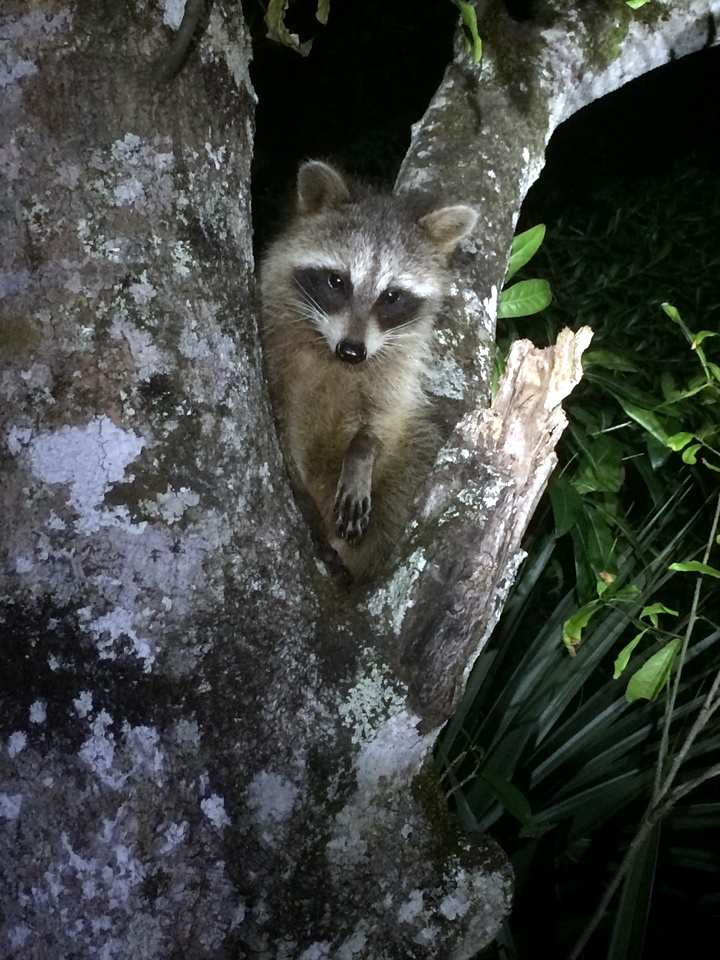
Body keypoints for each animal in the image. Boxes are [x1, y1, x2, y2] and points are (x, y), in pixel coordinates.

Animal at [260, 161, 478, 584]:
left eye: (391, 296)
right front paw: (301, 499)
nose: (352, 350)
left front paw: (361, 456)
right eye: (336, 281)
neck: (333, 359)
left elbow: (382, 423)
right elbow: (282, 432)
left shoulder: (394, 371)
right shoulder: (273, 352)